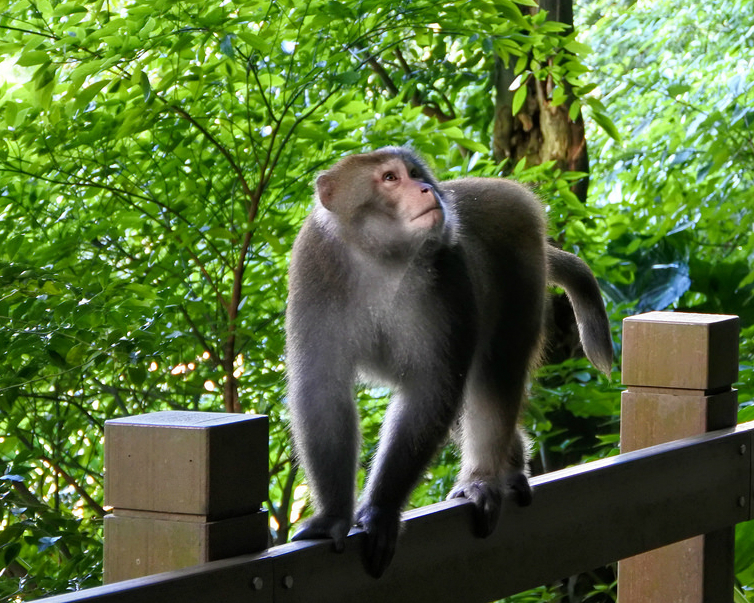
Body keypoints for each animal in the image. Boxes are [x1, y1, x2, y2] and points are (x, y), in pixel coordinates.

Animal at [284, 147, 612, 580]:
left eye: (415, 173)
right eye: (390, 178)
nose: (426, 189)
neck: (380, 258)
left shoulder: (448, 274)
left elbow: (433, 390)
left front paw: (381, 511)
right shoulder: (314, 266)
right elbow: (322, 391)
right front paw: (333, 517)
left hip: (523, 273)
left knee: (496, 371)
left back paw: (485, 477)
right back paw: (511, 462)